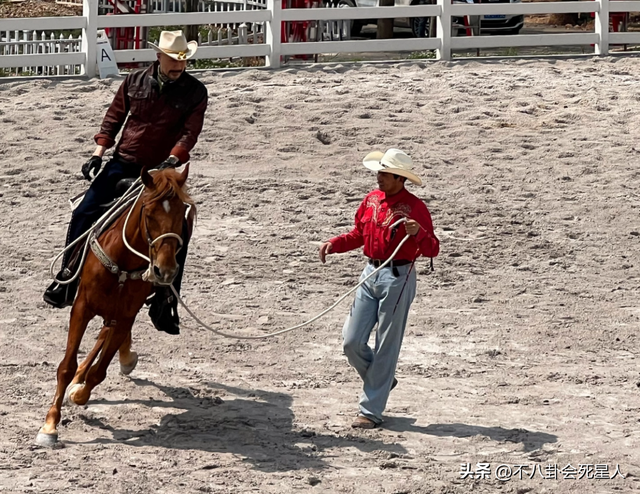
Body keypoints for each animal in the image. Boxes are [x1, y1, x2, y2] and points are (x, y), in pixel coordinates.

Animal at [34, 165, 194, 448]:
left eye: (180, 215)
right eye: (148, 213)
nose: (164, 271)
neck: (123, 260)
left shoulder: (126, 315)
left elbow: (99, 372)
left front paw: (79, 393)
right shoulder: (82, 307)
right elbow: (66, 367)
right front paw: (50, 426)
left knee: (106, 334)